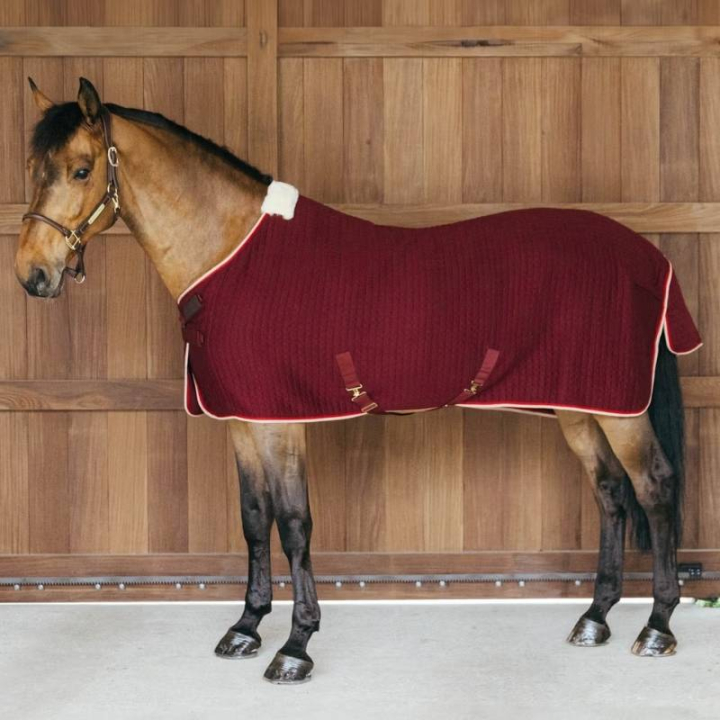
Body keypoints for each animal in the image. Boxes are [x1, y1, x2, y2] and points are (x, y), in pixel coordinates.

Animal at [14, 77, 700, 685]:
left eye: (81, 170)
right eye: (33, 168)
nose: (32, 275)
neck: (232, 253)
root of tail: (649, 255)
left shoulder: (280, 422)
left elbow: (293, 525)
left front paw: (295, 648)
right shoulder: (241, 420)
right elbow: (253, 518)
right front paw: (246, 627)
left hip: (617, 409)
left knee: (655, 488)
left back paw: (657, 627)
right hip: (579, 405)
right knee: (610, 492)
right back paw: (595, 617)